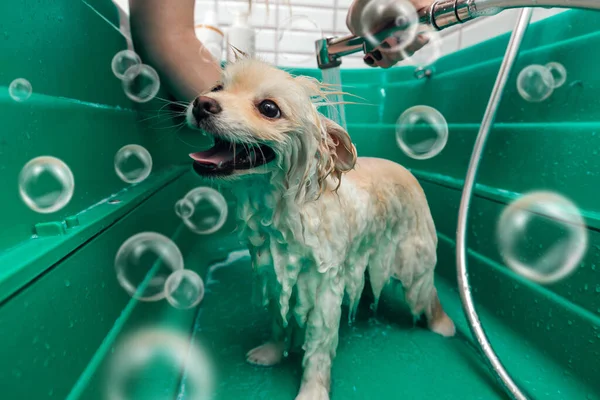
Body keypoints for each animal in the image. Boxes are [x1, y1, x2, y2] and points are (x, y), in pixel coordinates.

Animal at [185, 59, 452, 400]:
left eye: (269, 108)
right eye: (218, 88)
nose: (202, 103)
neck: (287, 207)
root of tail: (406, 170)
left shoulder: (324, 288)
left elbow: (318, 346)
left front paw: (312, 389)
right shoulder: (278, 275)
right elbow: (278, 321)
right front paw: (271, 352)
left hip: (413, 260)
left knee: (427, 294)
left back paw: (443, 325)